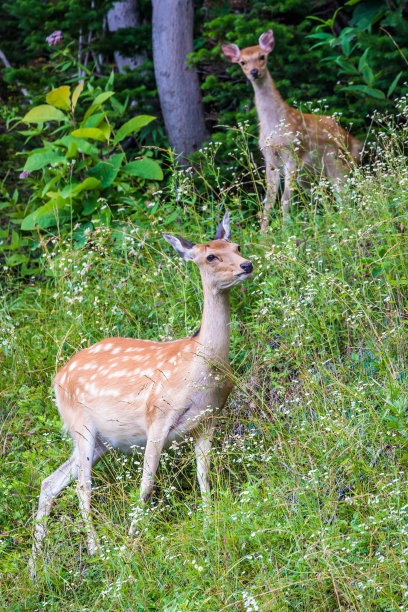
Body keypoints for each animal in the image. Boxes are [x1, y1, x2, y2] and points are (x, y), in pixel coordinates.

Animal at [29, 212, 252, 572]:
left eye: (237, 246)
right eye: (210, 256)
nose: (246, 264)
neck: (200, 369)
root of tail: (57, 377)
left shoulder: (208, 421)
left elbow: (205, 478)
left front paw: (209, 522)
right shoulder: (157, 417)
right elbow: (146, 486)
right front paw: (131, 545)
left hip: (103, 440)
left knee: (51, 482)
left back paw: (35, 568)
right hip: (80, 424)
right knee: (82, 487)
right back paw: (96, 551)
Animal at [222, 29, 362, 226]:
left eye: (262, 56)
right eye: (242, 62)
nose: (254, 72)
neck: (274, 125)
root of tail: (351, 139)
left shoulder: (293, 153)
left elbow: (285, 200)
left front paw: (285, 228)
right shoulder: (270, 158)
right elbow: (268, 202)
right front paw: (265, 232)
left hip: (337, 162)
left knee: (345, 196)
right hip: (310, 174)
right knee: (325, 197)